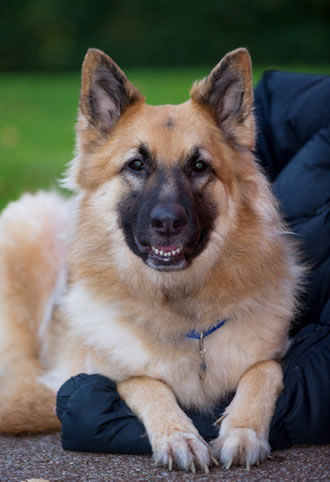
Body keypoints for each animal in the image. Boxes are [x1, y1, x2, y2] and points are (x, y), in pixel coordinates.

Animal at [0, 48, 300, 470]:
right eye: (137, 165)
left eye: (199, 166)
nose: (167, 223)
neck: (183, 311)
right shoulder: (101, 373)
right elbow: (144, 382)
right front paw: (177, 436)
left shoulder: (268, 357)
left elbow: (264, 371)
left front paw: (243, 431)